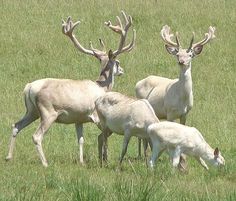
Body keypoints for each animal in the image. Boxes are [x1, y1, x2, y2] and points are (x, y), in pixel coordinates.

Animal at [5, 11, 136, 168]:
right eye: (118, 62)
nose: (122, 70)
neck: (102, 86)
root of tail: (29, 88)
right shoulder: (96, 116)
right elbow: (104, 136)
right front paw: (104, 159)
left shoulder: (78, 118)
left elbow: (80, 139)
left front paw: (82, 161)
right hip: (48, 112)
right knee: (36, 136)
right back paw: (45, 163)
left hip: (32, 111)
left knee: (16, 125)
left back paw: (8, 157)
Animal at [135, 25, 216, 163]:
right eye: (178, 54)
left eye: (190, 54)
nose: (181, 61)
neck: (182, 99)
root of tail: (138, 82)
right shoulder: (170, 113)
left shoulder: (185, 113)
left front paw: (183, 157)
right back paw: (143, 155)